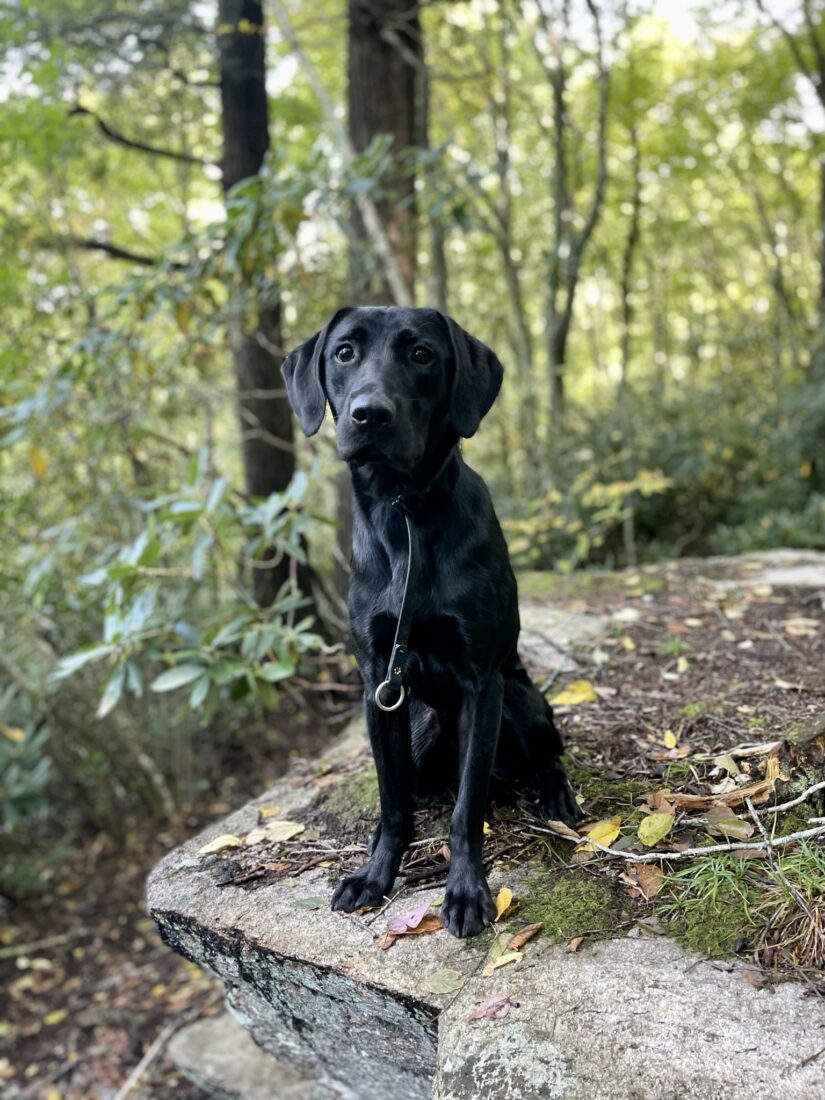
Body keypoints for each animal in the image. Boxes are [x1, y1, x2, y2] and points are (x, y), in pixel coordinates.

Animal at [283, 308, 580, 937]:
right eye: (344, 352)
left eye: (421, 355)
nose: (369, 413)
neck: (405, 516)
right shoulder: (378, 686)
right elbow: (393, 799)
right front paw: (376, 874)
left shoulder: (482, 685)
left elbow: (467, 811)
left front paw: (466, 892)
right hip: (418, 723)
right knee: (417, 787)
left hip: (522, 701)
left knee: (540, 758)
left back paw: (553, 794)